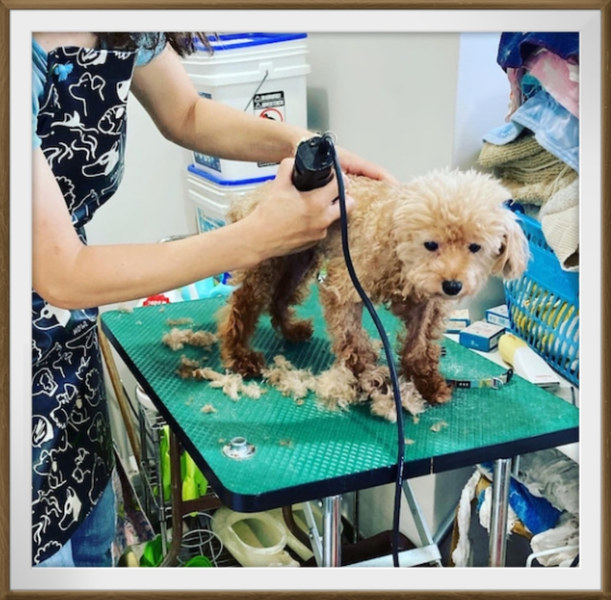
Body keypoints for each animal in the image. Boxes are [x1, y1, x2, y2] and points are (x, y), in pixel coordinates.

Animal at [217, 168, 529, 419]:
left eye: (475, 247)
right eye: (430, 244)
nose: (452, 286)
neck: (398, 250)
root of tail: (257, 192)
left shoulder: (426, 303)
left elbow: (420, 346)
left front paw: (427, 383)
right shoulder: (344, 287)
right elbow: (353, 339)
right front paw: (369, 376)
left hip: (298, 260)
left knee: (280, 298)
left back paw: (291, 330)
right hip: (266, 261)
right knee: (241, 306)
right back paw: (239, 356)